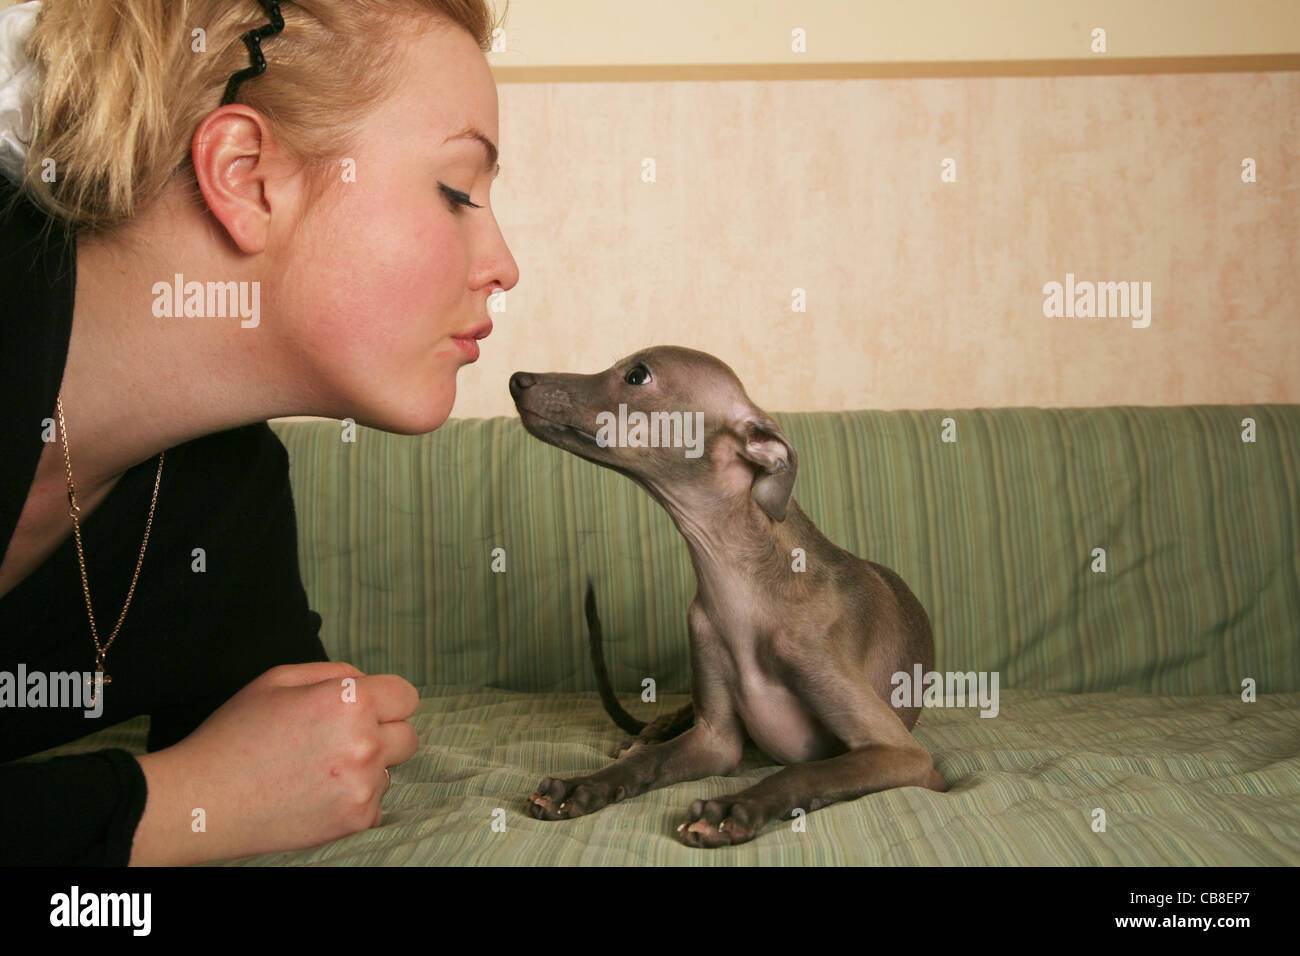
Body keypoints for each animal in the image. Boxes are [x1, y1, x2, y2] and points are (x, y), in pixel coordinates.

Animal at [506, 348, 946, 848]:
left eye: (637, 375)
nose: (517, 379)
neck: (739, 588)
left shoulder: (904, 755)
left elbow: (806, 772)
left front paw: (735, 808)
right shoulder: (713, 742)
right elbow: (649, 763)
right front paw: (582, 786)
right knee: (658, 733)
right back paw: (648, 733)